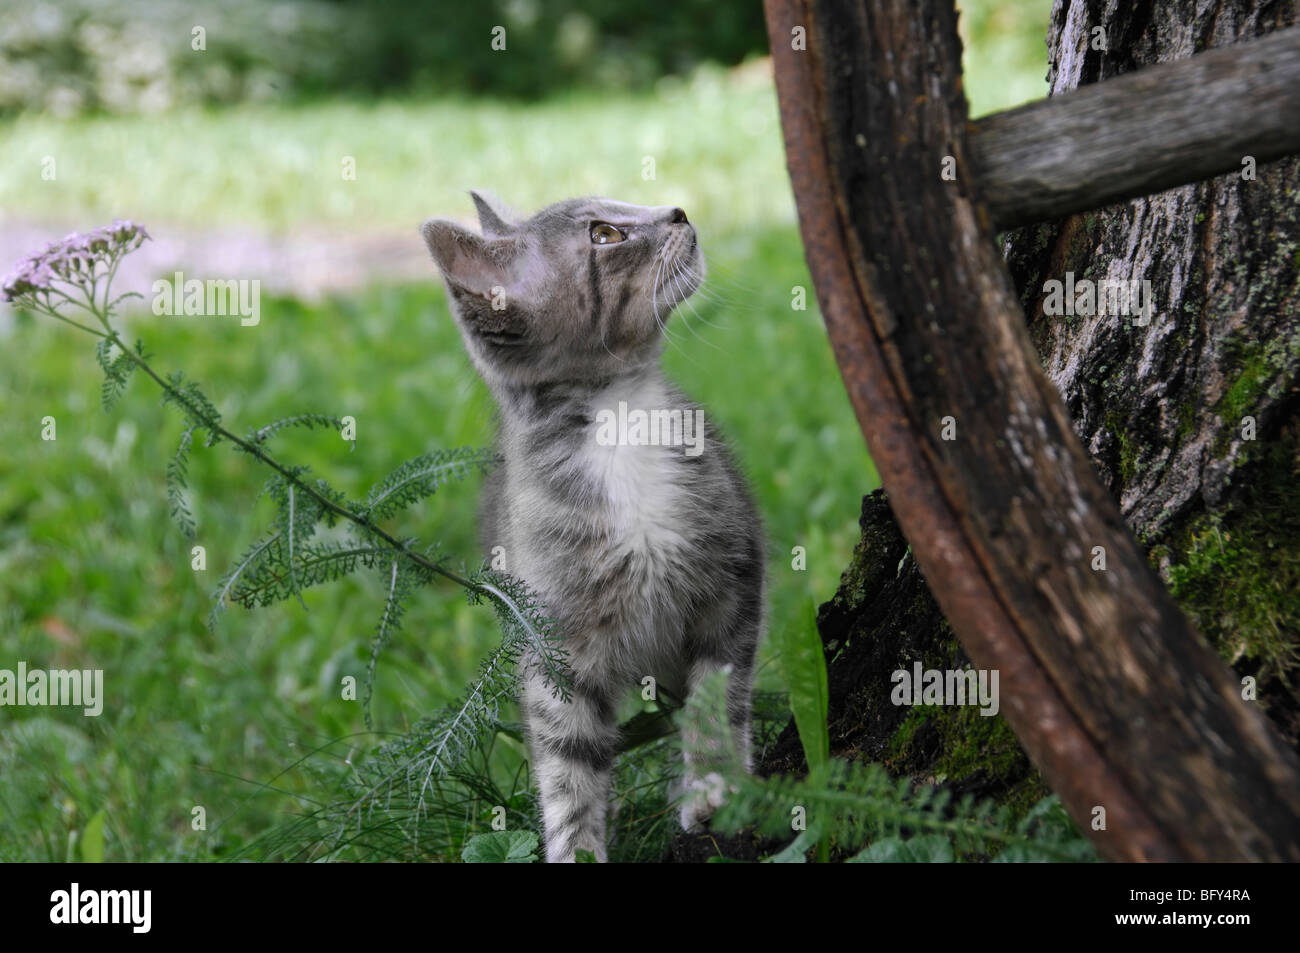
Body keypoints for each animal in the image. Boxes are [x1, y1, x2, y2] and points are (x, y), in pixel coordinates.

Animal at [421, 193, 759, 863]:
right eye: (605, 235)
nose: (678, 210)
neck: (621, 420)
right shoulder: (554, 645)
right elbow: (568, 760)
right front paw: (576, 847)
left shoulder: (732, 581)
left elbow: (716, 696)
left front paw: (714, 785)